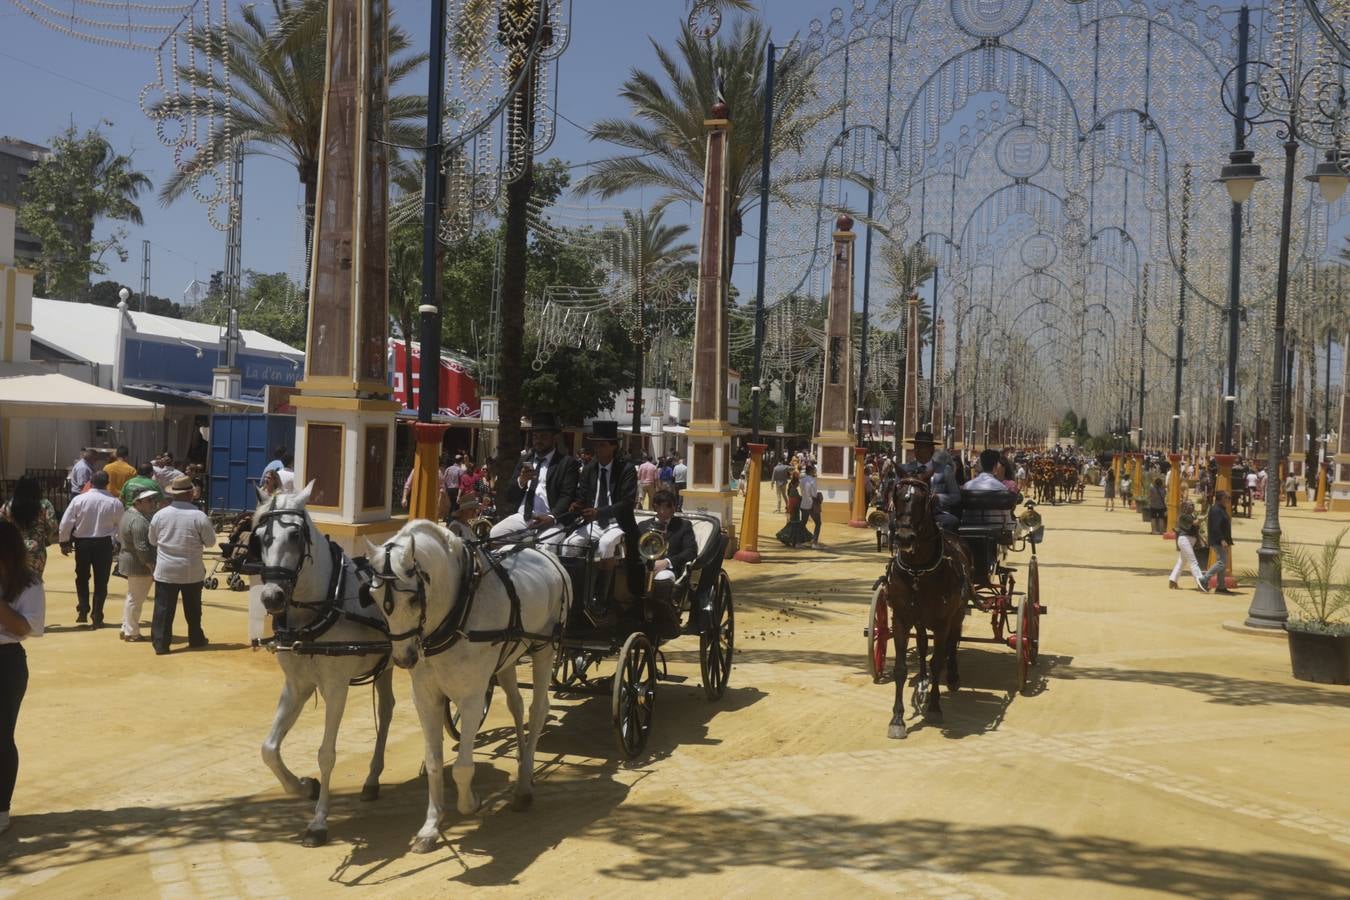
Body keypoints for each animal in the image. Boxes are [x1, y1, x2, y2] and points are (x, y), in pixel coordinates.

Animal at [253, 485, 394, 847]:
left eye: (295, 534)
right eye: (260, 537)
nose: (272, 597)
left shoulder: (336, 687)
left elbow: (326, 754)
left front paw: (318, 823)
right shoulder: (297, 685)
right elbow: (269, 748)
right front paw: (303, 787)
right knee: (387, 709)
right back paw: (372, 779)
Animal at [367, 518, 567, 858]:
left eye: (414, 599)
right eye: (375, 598)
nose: (404, 658)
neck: (456, 612)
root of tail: (543, 551)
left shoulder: (473, 697)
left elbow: (462, 767)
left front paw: (470, 803)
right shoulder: (425, 697)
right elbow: (435, 762)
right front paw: (430, 827)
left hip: (545, 647)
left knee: (538, 709)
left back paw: (524, 786)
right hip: (509, 657)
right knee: (516, 706)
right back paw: (522, 762)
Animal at [885, 477, 972, 739]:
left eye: (924, 500)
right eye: (897, 495)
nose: (904, 538)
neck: (918, 571)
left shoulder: (942, 623)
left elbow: (937, 662)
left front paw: (934, 707)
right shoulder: (901, 620)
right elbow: (901, 668)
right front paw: (897, 719)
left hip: (956, 615)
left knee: (953, 642)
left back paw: (952, 677)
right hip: (921, 620)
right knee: (923, 646)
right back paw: (922, 681)